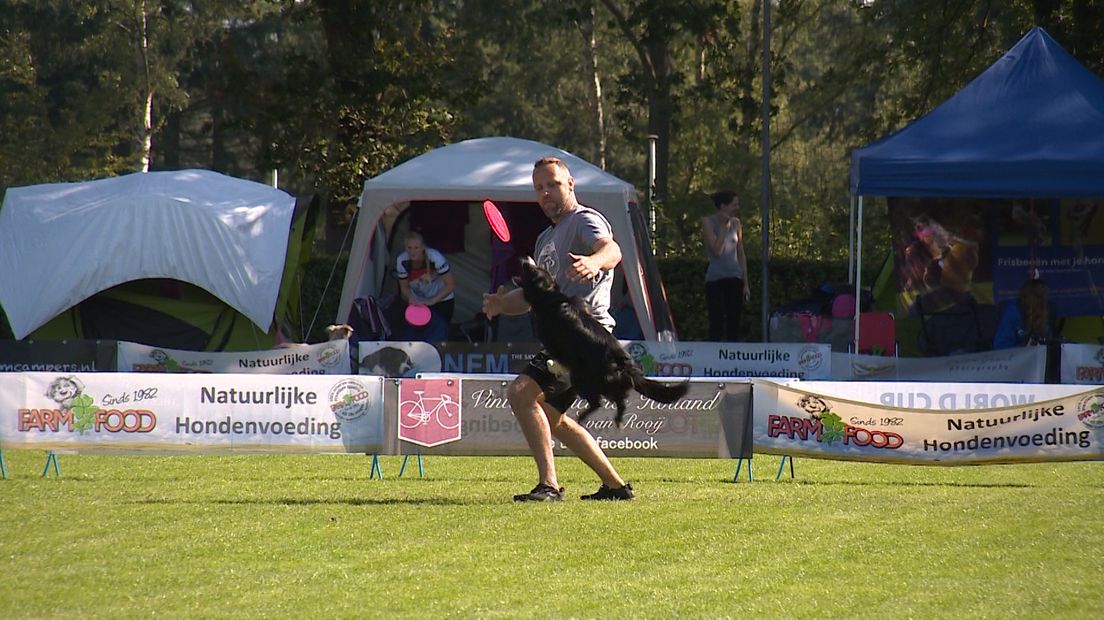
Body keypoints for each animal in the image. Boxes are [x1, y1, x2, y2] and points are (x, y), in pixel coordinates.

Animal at [512, 255, 684, 423]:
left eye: (531, 270)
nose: (523, 258)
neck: (549, 297)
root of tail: (624, 364)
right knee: (619, 400)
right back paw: (617, 419)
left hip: (580, 377)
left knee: (599, 402)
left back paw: (584, 417)